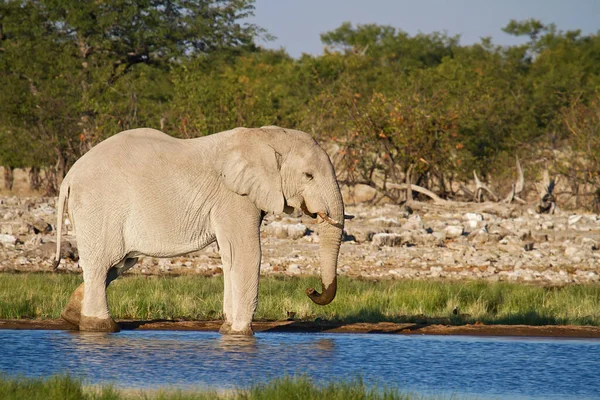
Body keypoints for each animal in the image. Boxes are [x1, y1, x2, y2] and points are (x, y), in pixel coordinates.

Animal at [55, 125, 346, 334]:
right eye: (308, 175)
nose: (310, 290)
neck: (266, 136)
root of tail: (68, 177)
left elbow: (230, 256)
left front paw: (228, 328)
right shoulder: (234, 197)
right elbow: (246, 253)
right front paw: (240, 333)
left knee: (118, 264)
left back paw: (71, 317)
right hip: (100, 207)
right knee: (103, 264)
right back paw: (100, 327)